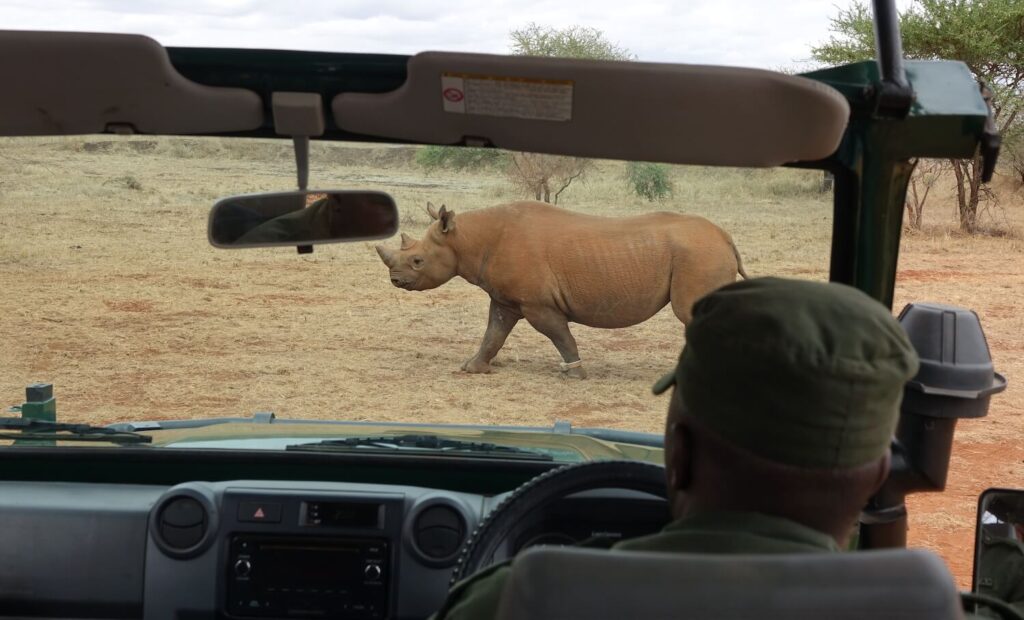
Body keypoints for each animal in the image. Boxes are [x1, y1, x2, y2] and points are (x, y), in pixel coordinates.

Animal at [375, 200, 747, 378]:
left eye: (418, 261)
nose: (395, 280)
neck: (466, 238)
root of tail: (726, 238)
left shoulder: (538, 303)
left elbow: (559, 335)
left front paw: (576, 373)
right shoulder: (505, 298)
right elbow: (494, 332)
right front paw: (472, 368)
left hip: (699, 254)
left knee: (690, 313)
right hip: (701, 252)